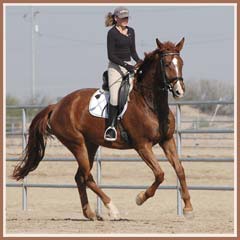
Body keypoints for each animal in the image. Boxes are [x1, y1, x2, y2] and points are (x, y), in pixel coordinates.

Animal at [12, 38, 193, 220]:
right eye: (167, 64)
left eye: (181, 63)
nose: (180, 90)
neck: (150, 103)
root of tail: (56, 106)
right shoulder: (142, 146)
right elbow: (160, 174)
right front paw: (140, 198)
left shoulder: (167, 140)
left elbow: (180, 170)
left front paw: (188, 207)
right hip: (76, 144)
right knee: (87, 176)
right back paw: (112, 208)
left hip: (90, 145)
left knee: (80, 177)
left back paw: (91, 214)